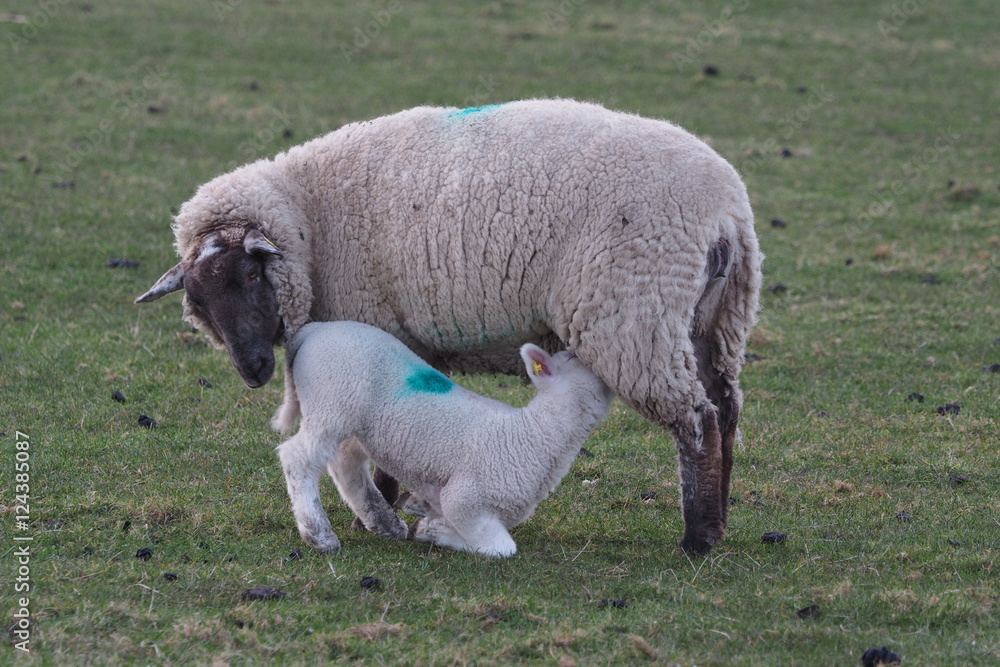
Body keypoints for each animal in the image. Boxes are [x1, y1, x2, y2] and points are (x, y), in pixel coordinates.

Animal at [272, 320, 614, 557]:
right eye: (579, 360)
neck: (533, 434)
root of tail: (313, 330)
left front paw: (418, 510)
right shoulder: (465, 498)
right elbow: (500, 546)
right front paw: (432, 530)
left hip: (351, 419)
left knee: (345, 463)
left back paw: (384, 521)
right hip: (333, 400)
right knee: (298, 457)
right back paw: (319, 535)